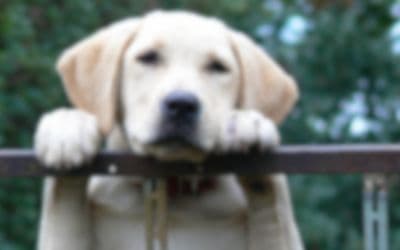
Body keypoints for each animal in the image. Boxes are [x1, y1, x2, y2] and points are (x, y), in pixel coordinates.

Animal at [34, 10, 304, 250]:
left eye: (218, 67)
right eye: (148, 57)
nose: (182, 105)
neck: (173, 193)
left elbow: (274, 207)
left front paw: (246, 122)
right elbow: (63, 201)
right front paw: (66, 128)